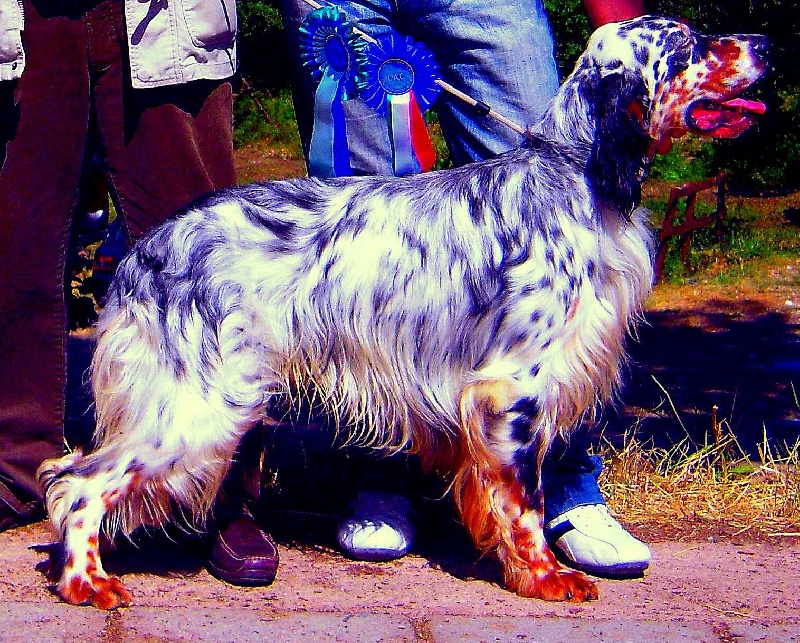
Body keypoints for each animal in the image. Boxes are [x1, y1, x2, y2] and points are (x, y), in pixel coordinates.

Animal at [38, 16, 767, 608]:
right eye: (690, 46)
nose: (765, 44)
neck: (576, 171)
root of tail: (147, 250)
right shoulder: (515, 387)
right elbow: (526, 500)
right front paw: (545, 576)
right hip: (196, 405)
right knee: (76, 482)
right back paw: (87, 583)